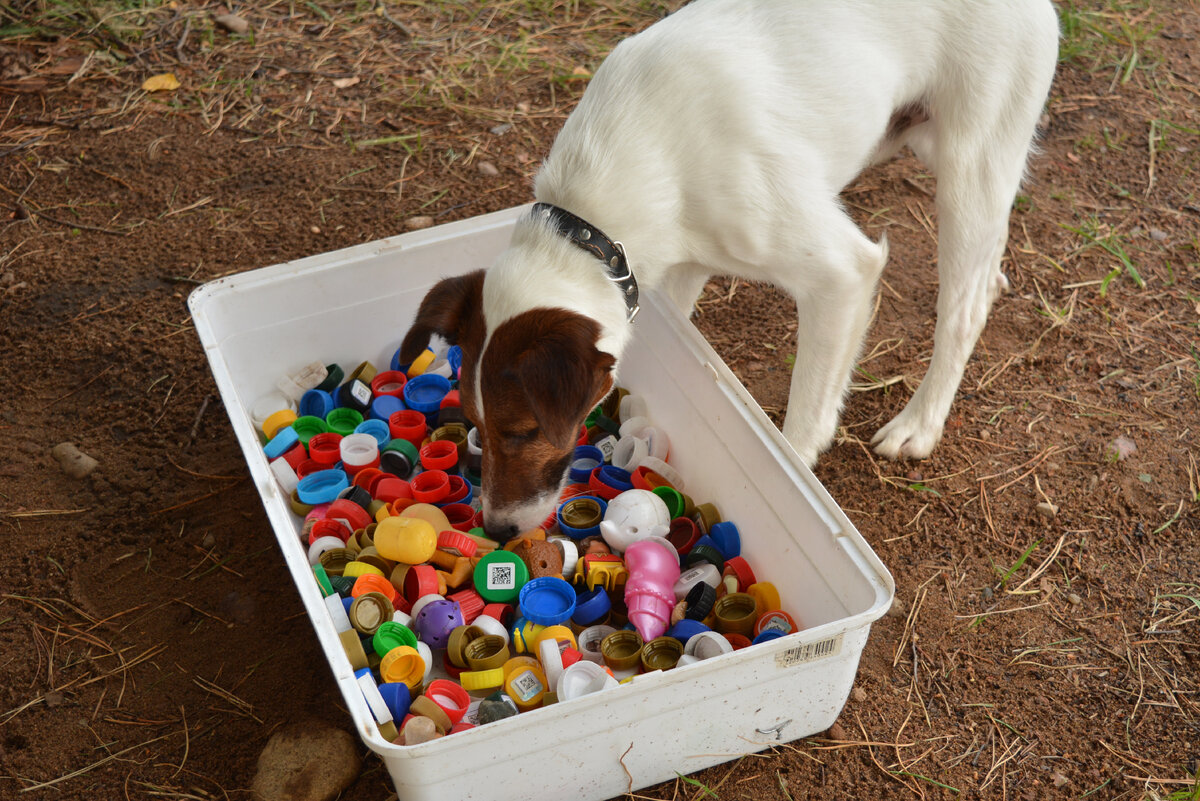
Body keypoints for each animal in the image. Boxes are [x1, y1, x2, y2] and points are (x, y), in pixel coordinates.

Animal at [403, 0, 1060, 541]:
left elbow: (802, 428)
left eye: (523, 432)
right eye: (474, 425)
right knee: (988, 278)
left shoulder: (843, 274)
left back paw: (919, 423)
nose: (497, 530)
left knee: (964, 308)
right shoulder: (678, 267)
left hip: (970, 166)